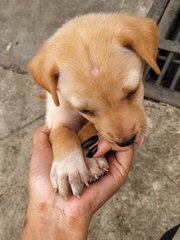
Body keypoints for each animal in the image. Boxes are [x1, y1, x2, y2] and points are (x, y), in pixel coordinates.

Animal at [28, 12, 160, 198]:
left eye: (133, 91)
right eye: (84, 110)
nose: (126, 142)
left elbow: (89, 128)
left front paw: (92, 160)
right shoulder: (57, 115)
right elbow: (62, 133)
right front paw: (67, 169)